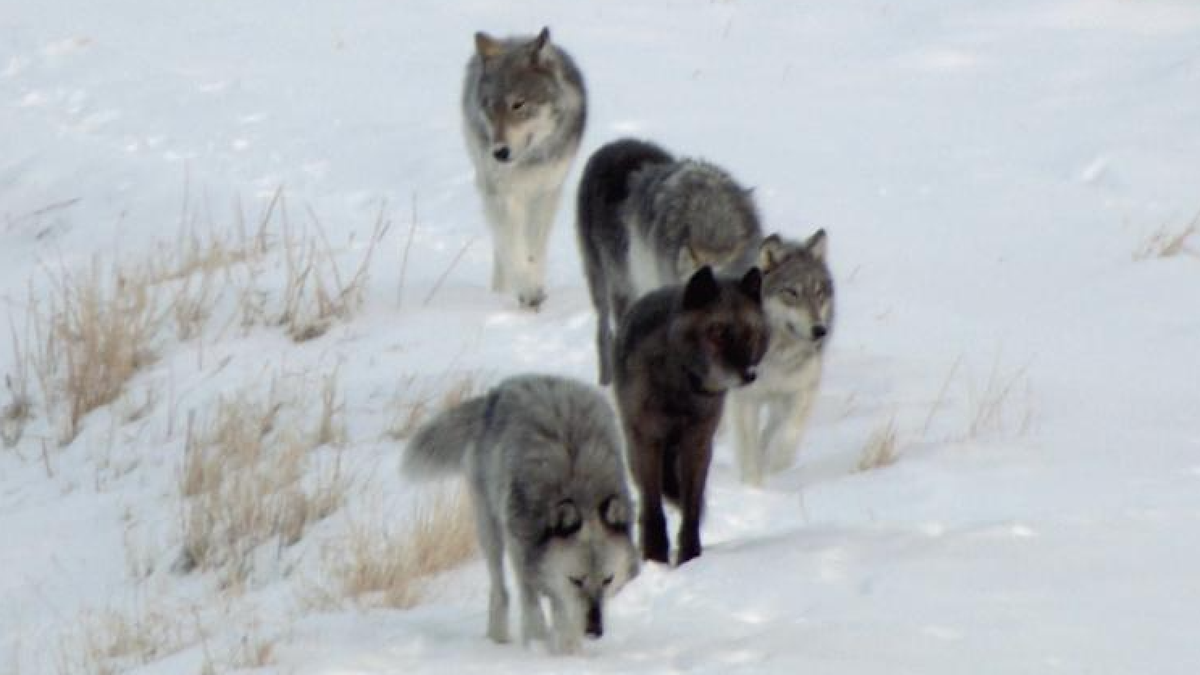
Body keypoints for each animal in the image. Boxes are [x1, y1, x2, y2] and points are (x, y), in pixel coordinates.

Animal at [400, 372, 638, 653]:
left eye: (607, 580)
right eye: (576, 581)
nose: (594, 631)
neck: (579, 484)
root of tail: (501, 388)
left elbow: (563, 612)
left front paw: (568, 651)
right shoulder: (523, 549)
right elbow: (532, 602)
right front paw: (537, 644)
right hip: (490, 531)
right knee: (500, 590)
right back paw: (499, 638)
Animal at [720, 230, 835, 482]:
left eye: (819, 293)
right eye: (792, 292)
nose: (820, 330)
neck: (776, 354)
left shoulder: (801, 390)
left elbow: (789, 433)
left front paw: (778, 465)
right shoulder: (747, 398)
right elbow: (749, 449)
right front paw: (752, 484)